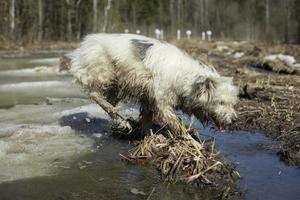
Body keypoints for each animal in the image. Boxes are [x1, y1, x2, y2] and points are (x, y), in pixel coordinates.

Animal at [69, 33, 238, 136]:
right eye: (221, 102)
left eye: (232, 103)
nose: (234, 120)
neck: (187, 79)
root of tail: (85, 44)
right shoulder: (162, 103)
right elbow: (175, 122)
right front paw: (189, 139)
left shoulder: (148, 99)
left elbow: (147, 121)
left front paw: (148, 138)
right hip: (105, 73)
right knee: (95, 94)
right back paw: (118, 116)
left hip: (117, 86)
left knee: (109, 102)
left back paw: (120, 120)